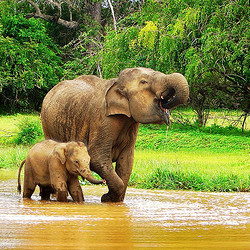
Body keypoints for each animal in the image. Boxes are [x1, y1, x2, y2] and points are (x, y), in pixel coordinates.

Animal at [41, 67, 188, 202]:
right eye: (143, 82)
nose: (166, 102)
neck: (116, 83)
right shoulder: (102, 119)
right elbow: (97, 157)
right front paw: (106, 198)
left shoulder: (132, 123)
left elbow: (126, 162)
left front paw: (113, 200)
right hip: (47, 124)